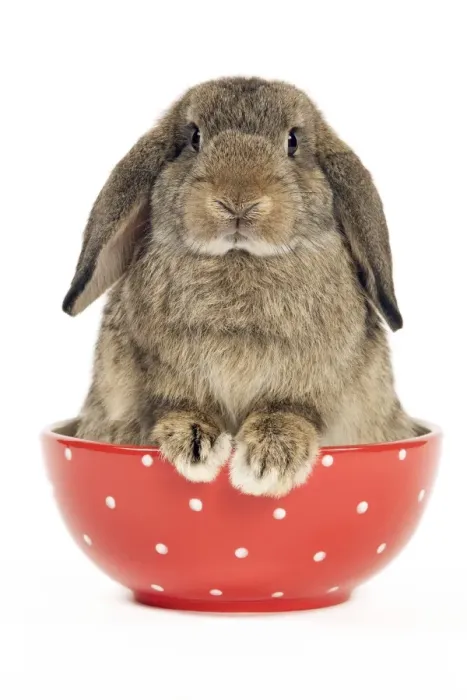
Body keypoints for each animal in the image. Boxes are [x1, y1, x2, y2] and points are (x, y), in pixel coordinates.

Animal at [62, 76, 422, 497]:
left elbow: (288, 411)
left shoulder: (306, 387)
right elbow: (178, 405)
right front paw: (195, 446)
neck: (240, 258)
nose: (238, 199)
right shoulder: (163, 381)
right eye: (195, 138)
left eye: (292, 142)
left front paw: (267, 463)